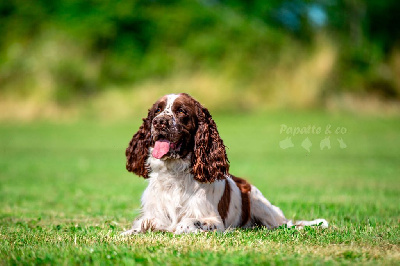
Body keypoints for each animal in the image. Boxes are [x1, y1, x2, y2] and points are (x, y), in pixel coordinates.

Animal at [122, 93, 328, 235]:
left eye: (181, 111)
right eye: (157, 110)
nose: (159, 122)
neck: (174, 174)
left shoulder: (212, 220)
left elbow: (186, 223)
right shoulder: (152, 215)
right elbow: (140, 226)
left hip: (262, 207)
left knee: (284, 224)